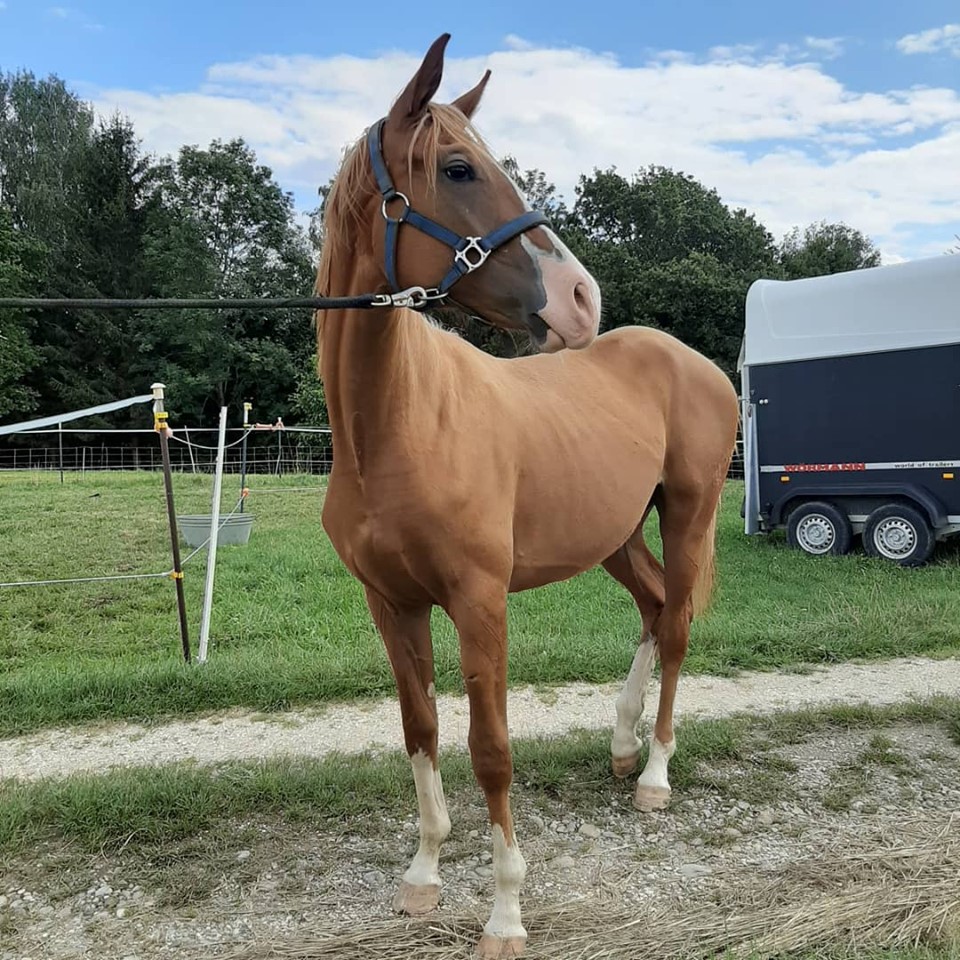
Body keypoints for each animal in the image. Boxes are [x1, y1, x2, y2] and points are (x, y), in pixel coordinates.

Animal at [312, 31, 740, 960]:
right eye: (459, 168)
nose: (581, 297)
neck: (396, 424)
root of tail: (695, 362)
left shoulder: (481, 602)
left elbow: (491, 749)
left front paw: (505, 912)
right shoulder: (391, 604)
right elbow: (422, 732)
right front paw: (424, 875)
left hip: (688, 514)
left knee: (678, 628)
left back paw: (654, 773)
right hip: (617, 534)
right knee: (655, 608)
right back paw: (620, 745)